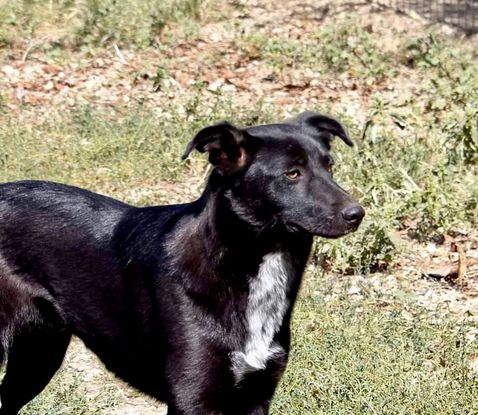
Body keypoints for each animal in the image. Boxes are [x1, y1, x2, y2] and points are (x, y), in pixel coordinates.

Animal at [0, 112, 364, 415]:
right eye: (292, 173)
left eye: (329, 167)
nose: (357, 214)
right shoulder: (193, 398)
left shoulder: (256, 394)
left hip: (39, 351)